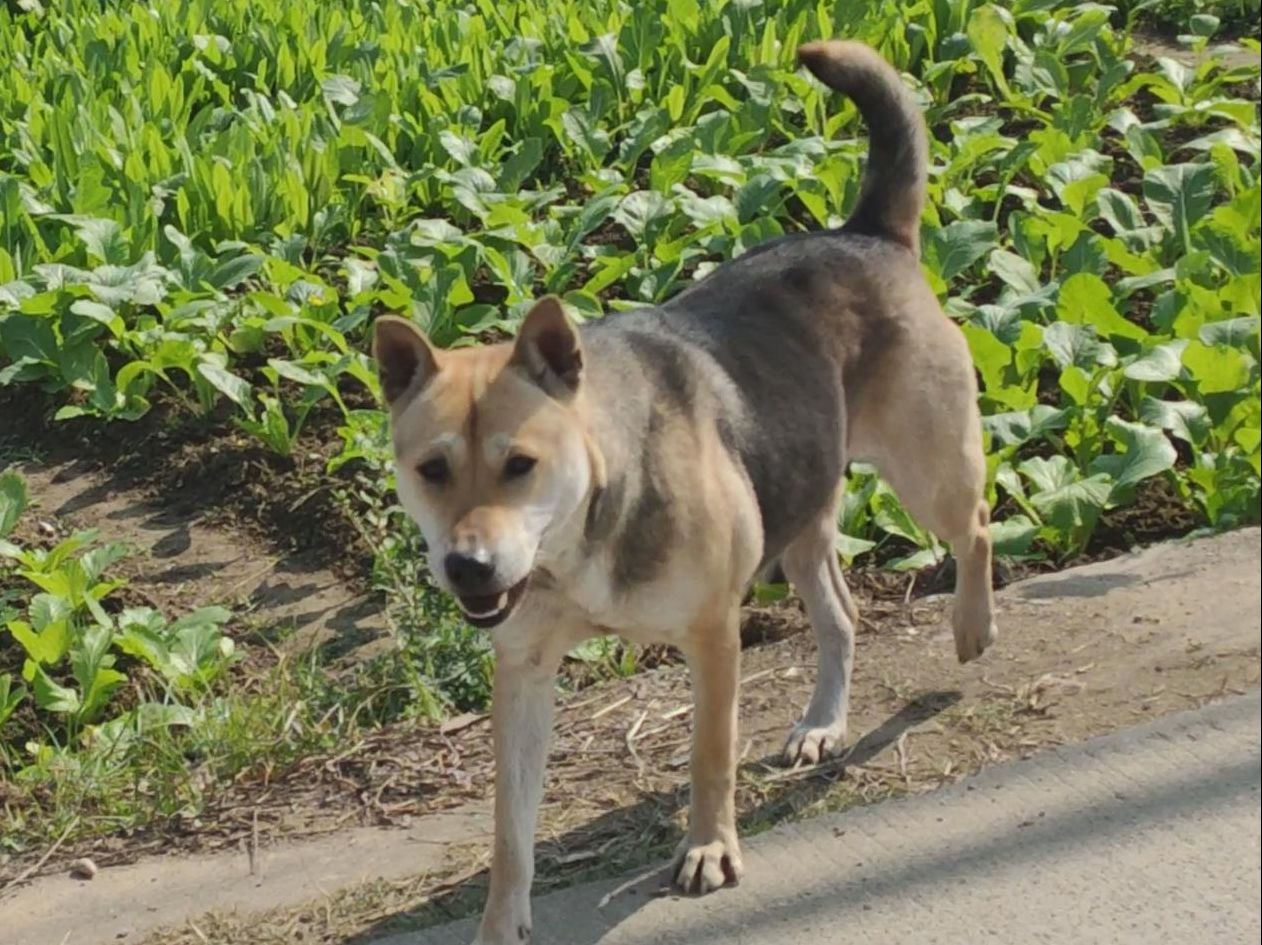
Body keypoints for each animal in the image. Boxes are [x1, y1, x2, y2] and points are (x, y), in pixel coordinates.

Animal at [371, 38, 994, 943]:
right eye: (433, 470)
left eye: (520, 464)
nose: (469, 568)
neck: (584, 525)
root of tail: (866, 234)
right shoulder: (523, 670)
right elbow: (509, 827)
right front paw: (502, 917)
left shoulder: (712, 635)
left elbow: (709, 755)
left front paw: (708, 848)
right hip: (800, 510)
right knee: (840, 613)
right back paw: (823, 722)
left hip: (926, 465)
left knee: (975, 525)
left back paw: (972, 624)